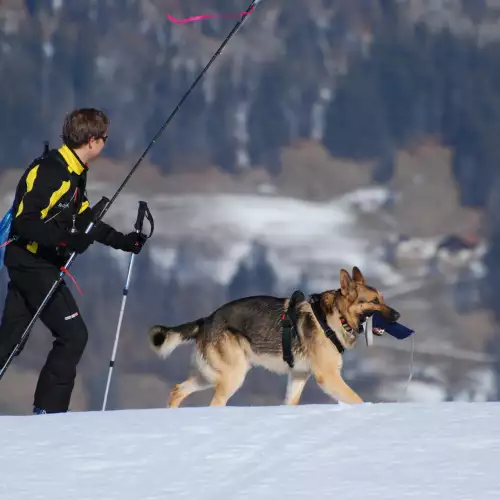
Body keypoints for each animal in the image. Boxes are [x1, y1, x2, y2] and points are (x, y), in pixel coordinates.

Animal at [147, 268, 398, 408]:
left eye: (383, 298)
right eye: (374, 301)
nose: (398, 315)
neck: (334, 317)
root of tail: (206, 320)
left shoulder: (298, 377)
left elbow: (290, 403)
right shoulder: (328, 377)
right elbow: (356, 399)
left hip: (209, 375)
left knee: (177, 390)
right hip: (231, 376)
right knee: (213, 403)